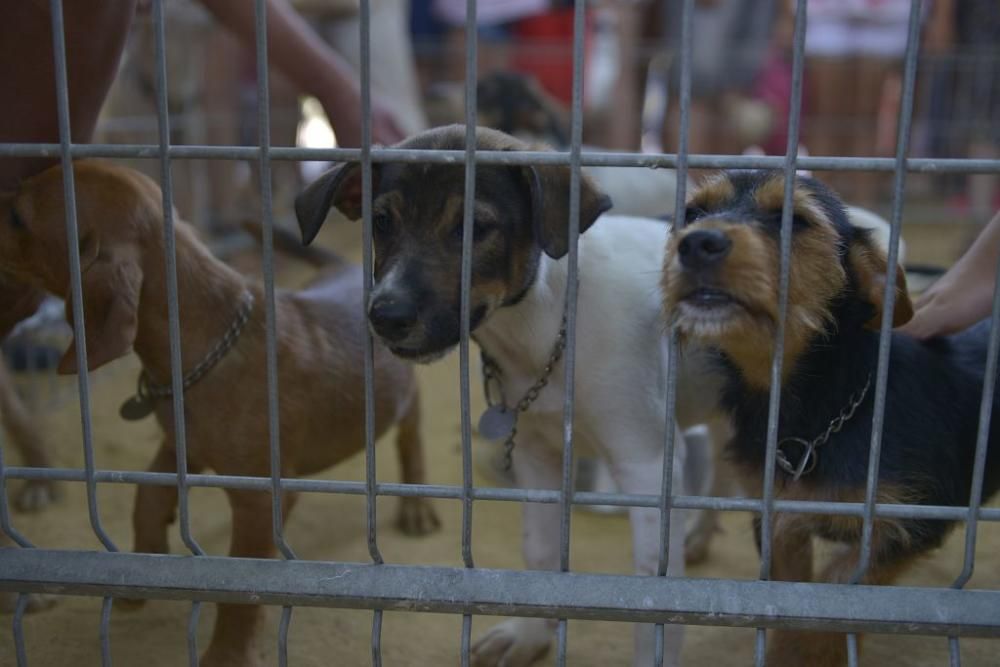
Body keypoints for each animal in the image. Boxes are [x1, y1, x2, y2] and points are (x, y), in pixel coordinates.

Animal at [0, 163, 440, 667]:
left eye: (17, 217)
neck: (210, 341)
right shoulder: (179, 444)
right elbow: (145, 497)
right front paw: (142, 563)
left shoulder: (258, 501)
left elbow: (239, 588)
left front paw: (227, 652)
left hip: (405, 398)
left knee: (411, 441)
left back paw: (417, 507)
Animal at [664, 170, 1000, 664]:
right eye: (692, 213)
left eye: (794, 219)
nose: (696, 242)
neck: (814, 413)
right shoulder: (779, 520)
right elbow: (787, 604)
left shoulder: (916, 520)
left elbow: (837, 593)